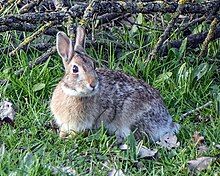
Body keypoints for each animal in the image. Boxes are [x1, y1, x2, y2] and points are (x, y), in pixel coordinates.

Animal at [49, 26, 179, 143]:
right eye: (75, 69)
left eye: (93, 65)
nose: (93, 84)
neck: (73, 92)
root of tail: (167, 122)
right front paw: (60, 136)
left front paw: (65, 139)